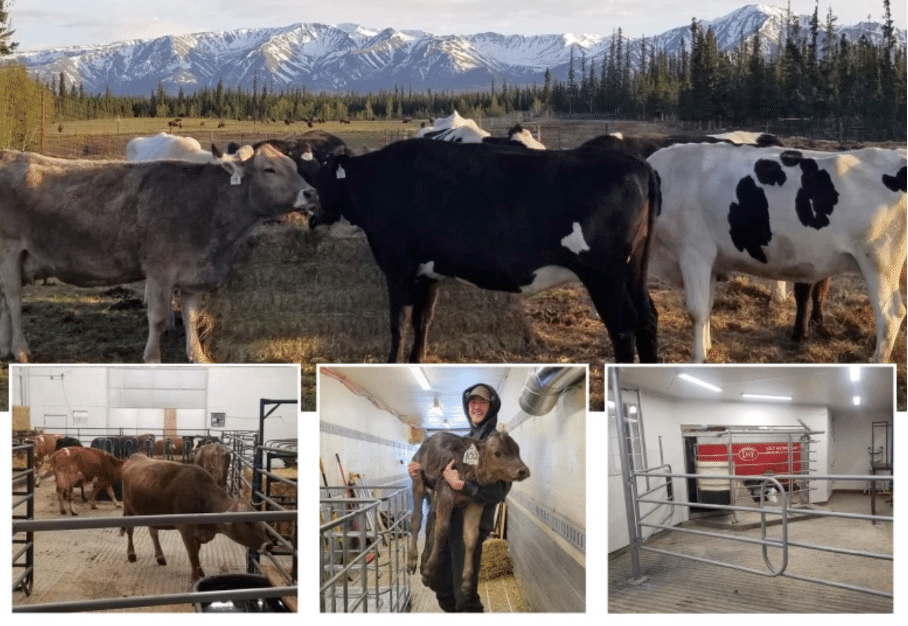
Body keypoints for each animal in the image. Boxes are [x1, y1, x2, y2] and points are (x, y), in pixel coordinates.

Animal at [0, 144, 318, 364]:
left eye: (294, 165)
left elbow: (191, 316)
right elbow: (158, 317)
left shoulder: (194, 275)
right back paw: (20, 349)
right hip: (10, 249)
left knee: (3, 299)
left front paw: (198, 356)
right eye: (269, 169)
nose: (311, 193)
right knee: (13, 300)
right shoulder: (159, 270)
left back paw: (4, 348)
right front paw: (152, 357)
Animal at [119, 450, 274, 584]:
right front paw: (194, 578)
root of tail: (136, 456)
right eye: (247, 522)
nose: (269, 545)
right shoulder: (185, 528)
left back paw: (160, 556)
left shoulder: (199, 532)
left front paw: (200, 570)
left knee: (153, 532)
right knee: (130, 531)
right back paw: (131, 554)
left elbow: (197, 552)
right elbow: (192, 554)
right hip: (129, 509)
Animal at [310, 136, 660, 360]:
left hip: (604, 274)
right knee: (647, 317)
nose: (309, 208)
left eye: (321, 179)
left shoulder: (397, 264)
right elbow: (423, 320)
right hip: (634, 267)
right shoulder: (427, 271)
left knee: (623, 326)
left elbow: (398, 322)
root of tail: (638, 165)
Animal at [408, 428, 528, 596]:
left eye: (518, 450)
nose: (524, 470)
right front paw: (429, 572)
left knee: (430, 522)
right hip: (419, 479)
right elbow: (441, 531)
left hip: (434, 494)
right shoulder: (446, 491)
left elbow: (471, 538)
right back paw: (412, 560)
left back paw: (424, 559)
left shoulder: (475, 503)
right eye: (497, 453)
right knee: (417, 518)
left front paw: (466, 582)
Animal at [640, 143, 904, 360]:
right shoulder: (712, 262)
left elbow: (695, 311)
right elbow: (707, 307)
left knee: (890, 316)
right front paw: (707, 347)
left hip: (880, 262)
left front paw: (697, 358)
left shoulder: (694, 253)